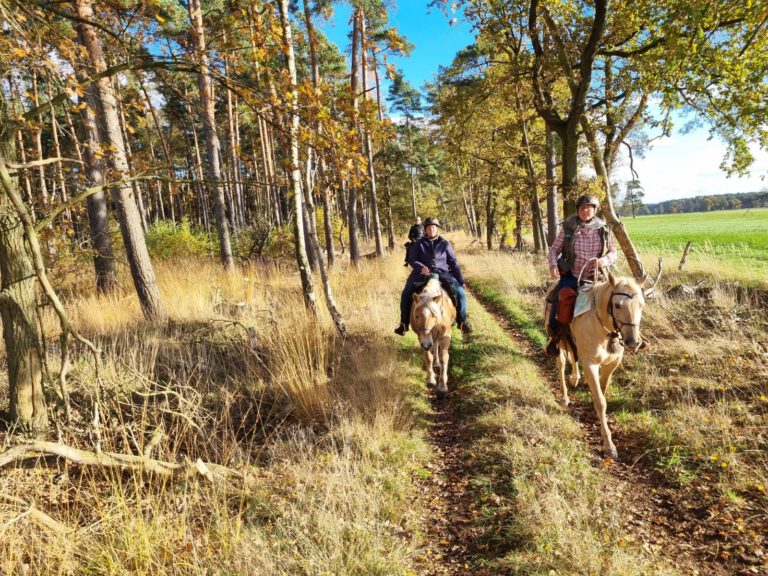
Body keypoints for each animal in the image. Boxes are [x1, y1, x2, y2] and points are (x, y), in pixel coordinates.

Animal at [544, 272, 648, 462]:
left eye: (641, 305)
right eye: (617, 305)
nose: (633, 342)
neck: (604, 330)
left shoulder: (611, 364)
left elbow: (603, 390)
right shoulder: (591, 364)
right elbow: (600, 401)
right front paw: (609, 445)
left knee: (573, 355)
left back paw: (575, 378)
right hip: (558, 341)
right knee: (562, 364)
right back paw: (565, 396)